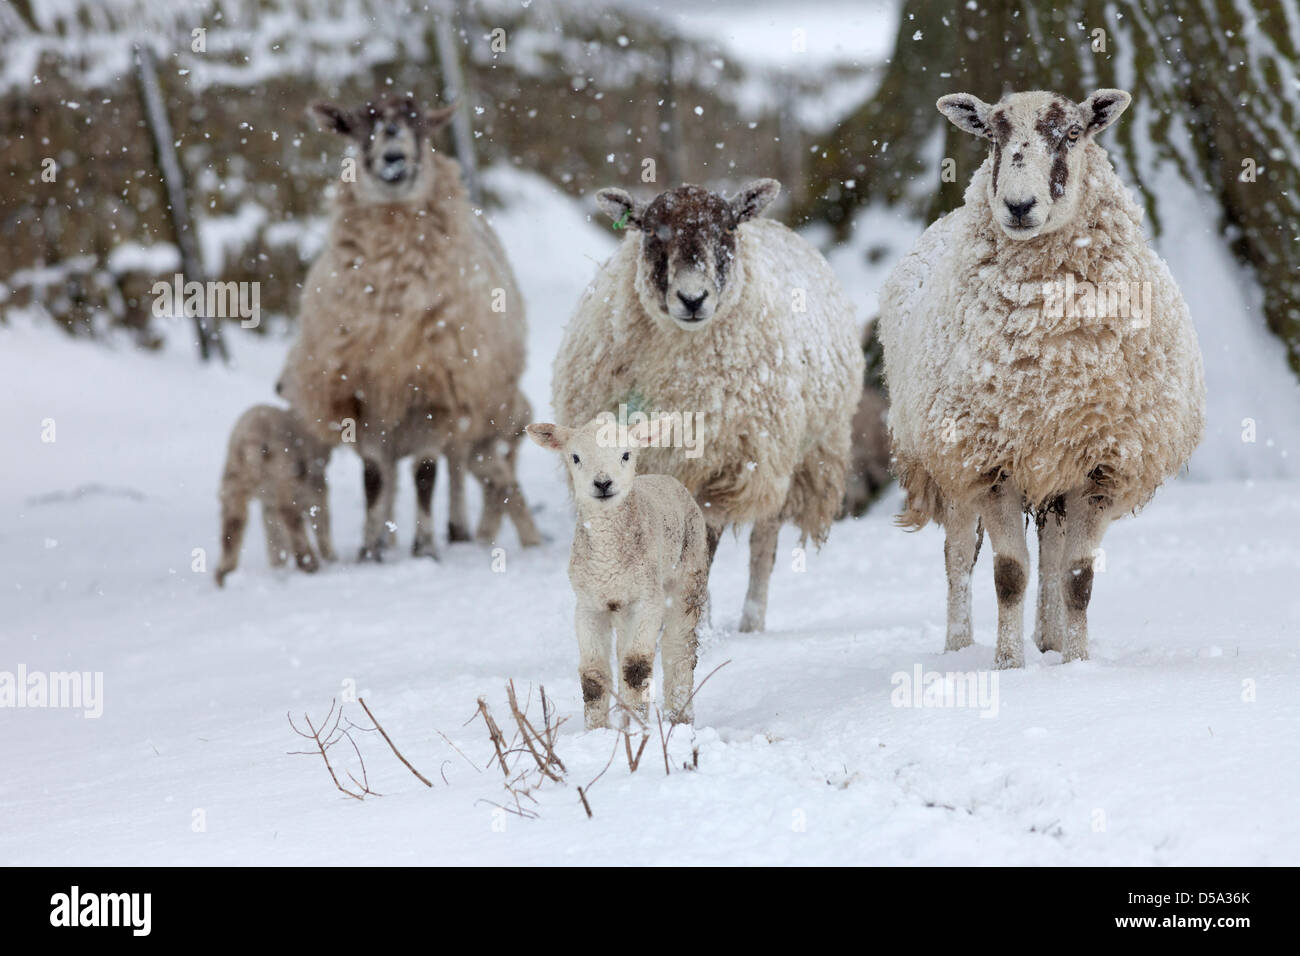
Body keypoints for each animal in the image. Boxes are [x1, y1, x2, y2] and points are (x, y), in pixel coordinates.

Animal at [215, 403, 335, 582]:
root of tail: (251, 436)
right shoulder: (315, 484)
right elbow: (321, 521)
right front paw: (331, 557)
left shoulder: (268, 499)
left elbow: (273, 531)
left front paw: (278, 565)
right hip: (283, 474)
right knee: (290, 515)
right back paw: (308, 562)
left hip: (233, 478)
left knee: (233, 524)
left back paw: (223, 574)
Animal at [274, 95, 538, 561]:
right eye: (358, 125)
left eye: (421, 126)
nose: (394, 155)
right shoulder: (363, 395)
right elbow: (374, 478)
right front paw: (369, 550)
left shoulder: (436, 391)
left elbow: (427, 475)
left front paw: (426, 546)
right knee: (394, 474)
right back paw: (386, 535)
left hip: (469, 403)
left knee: (454, 465)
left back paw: (456, 529)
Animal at [527, 416, 712, 728]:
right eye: (575, 457)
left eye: (626, 454)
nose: (602, 483)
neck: (608, 560)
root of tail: (668, 479)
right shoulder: (589, 604)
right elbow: (594, 675)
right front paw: (597, 731)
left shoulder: (647, 599)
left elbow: (636, 668)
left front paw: (639, 729)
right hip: (622, 608)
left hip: (689, 571)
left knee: (679, 649)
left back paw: (679, 718)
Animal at [551, 180, 863, 634]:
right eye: (649, 230)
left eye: (728, 227)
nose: (693, 298)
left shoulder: (725, 470)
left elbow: (705, 551)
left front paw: (696, 627)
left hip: (790, 456)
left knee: (764, 542)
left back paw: (752, 622)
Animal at [878, 91, 1201, 671]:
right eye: (992, 136)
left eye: (1073, 134)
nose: (1019, 206)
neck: (1051, 356)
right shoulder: (989, 462)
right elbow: (1008, 574)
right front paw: (1008, 667)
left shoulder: (1099, 465)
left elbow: (1078, 577)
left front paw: (1075, 665)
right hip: (947, 461)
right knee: (957, 557)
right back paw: (958, 646)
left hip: (1054, 467)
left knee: (1051, 552)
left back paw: (1050, 640)